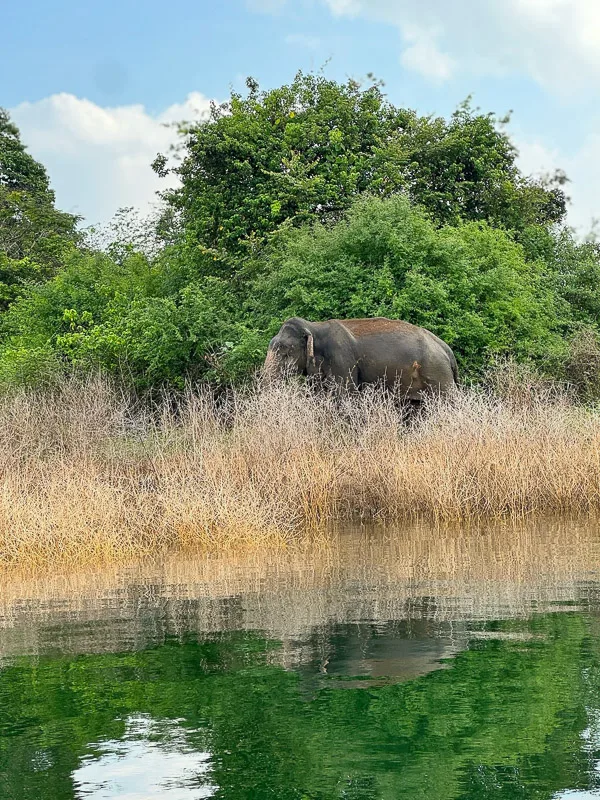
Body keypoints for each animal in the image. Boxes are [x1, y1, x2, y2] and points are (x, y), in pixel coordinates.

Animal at [262, 314, 460, 398]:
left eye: (284, 351)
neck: (313, 326)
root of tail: (446, 349)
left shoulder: (342, 360)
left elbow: (345, 397)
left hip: (437, 372)